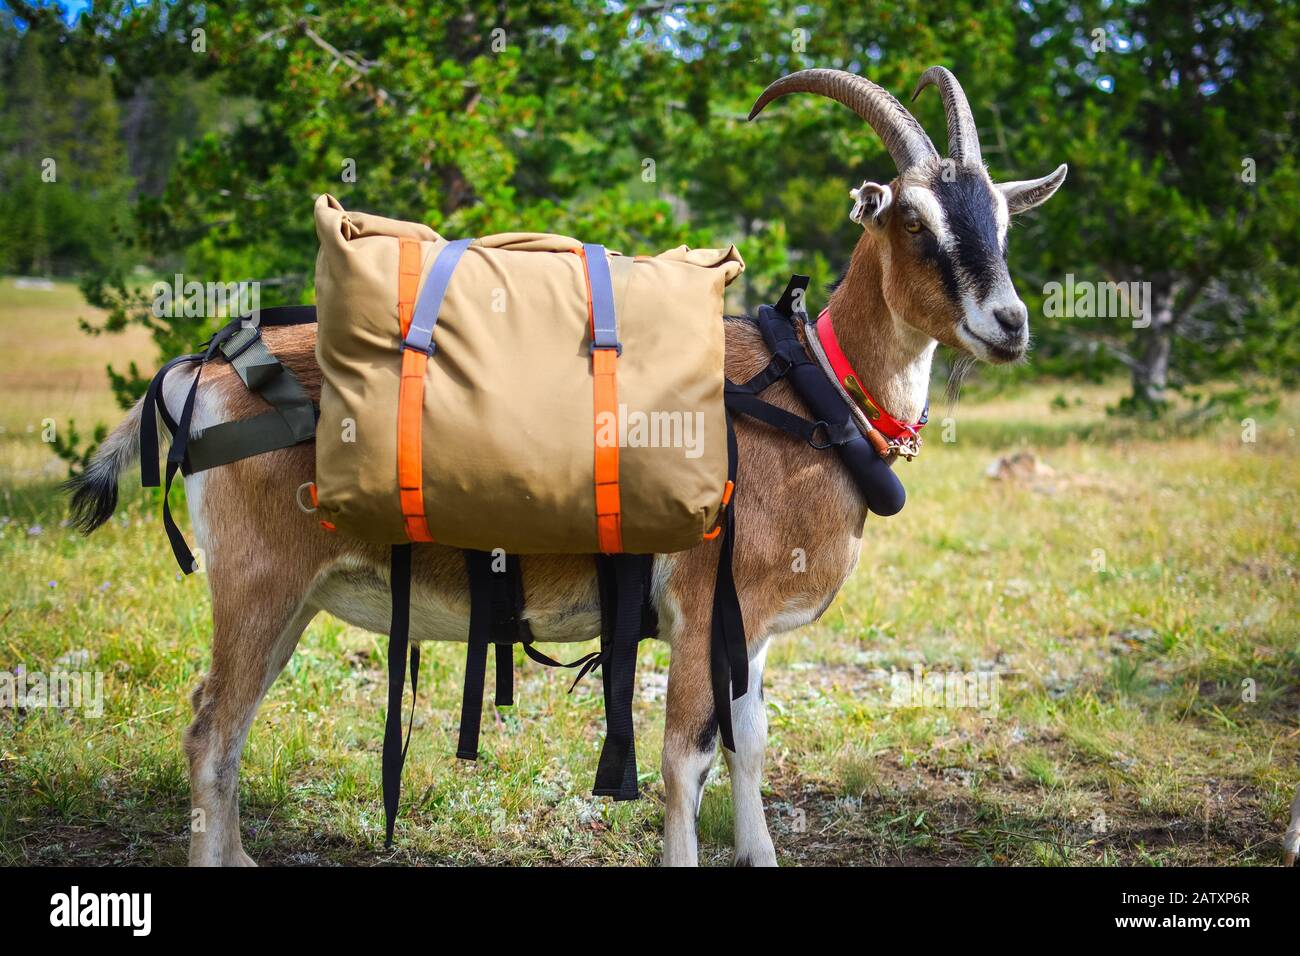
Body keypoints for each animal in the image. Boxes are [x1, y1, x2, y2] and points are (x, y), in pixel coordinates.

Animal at [66, 68, 1066, 866]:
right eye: (914, 221)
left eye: (1001, 220)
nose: (1008, 324)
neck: (810, 396)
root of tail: (203, 371)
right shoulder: (702, 607)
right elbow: (685, 760)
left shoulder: (750, 631)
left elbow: (750, 745)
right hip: (259, 577)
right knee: (209, 729)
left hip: (291, 595)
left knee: (227, 731)